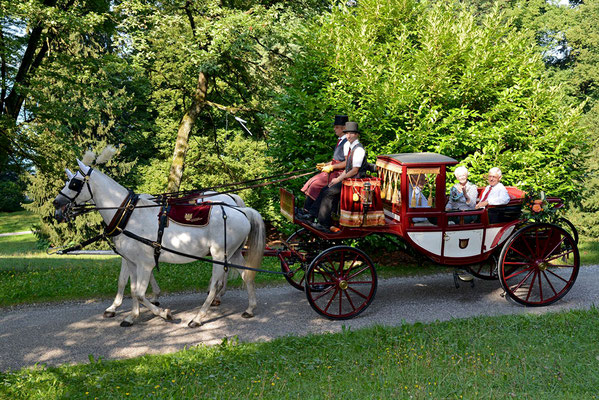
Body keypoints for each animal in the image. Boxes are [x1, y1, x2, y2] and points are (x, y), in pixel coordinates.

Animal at [103, 191, 246, 318]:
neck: (128, 214)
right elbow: (129, 280)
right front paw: (154, 296)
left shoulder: (132, 256)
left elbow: (123, 281)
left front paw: (113, 307)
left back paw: (216, 295)